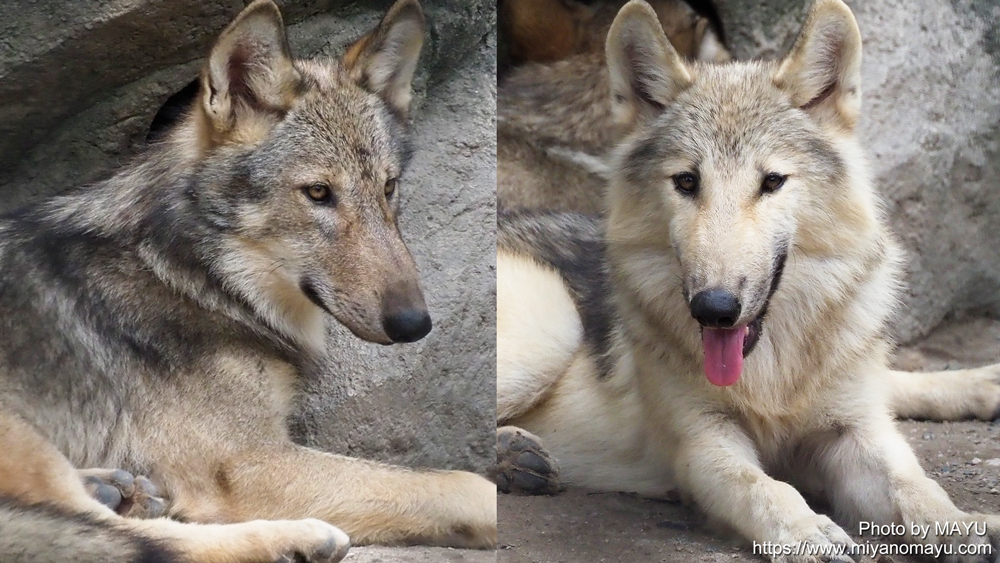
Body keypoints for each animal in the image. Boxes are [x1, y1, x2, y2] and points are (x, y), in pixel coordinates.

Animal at [0, 1, 496, 563]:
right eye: (318, 193)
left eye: (388, 188)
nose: (414, 324)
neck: (192, 275)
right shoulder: (246, 464)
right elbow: (462, 484)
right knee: (123, 537)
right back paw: (298, 538)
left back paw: (115, 488)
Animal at [496, 0, 1000, 560]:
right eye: (686, 182)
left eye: (772, 182)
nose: (714, 308)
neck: (773, 376)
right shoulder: (703, 443)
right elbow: (763, 487)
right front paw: (809, 533)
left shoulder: (855, 431)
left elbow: (915, 486)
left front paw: (964, 524)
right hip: (552, 330)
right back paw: (509, 457)